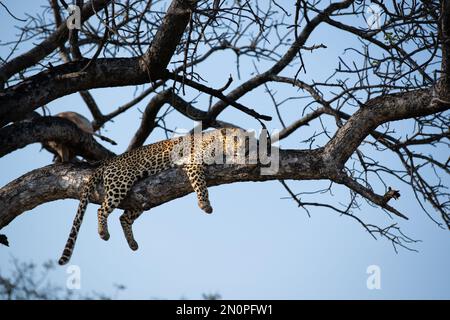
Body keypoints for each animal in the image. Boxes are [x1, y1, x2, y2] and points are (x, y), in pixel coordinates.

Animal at [58, 127, 248, 264]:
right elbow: (201, 185)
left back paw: (132, 244)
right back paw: (103, 233)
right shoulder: (193, 162)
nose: (243, 148)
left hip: (141, 196)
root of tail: (109, 161)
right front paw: (205, 205)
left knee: (123, 217)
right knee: (102, 210)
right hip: (120, 183)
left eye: (247, 140)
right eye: (236, 139)